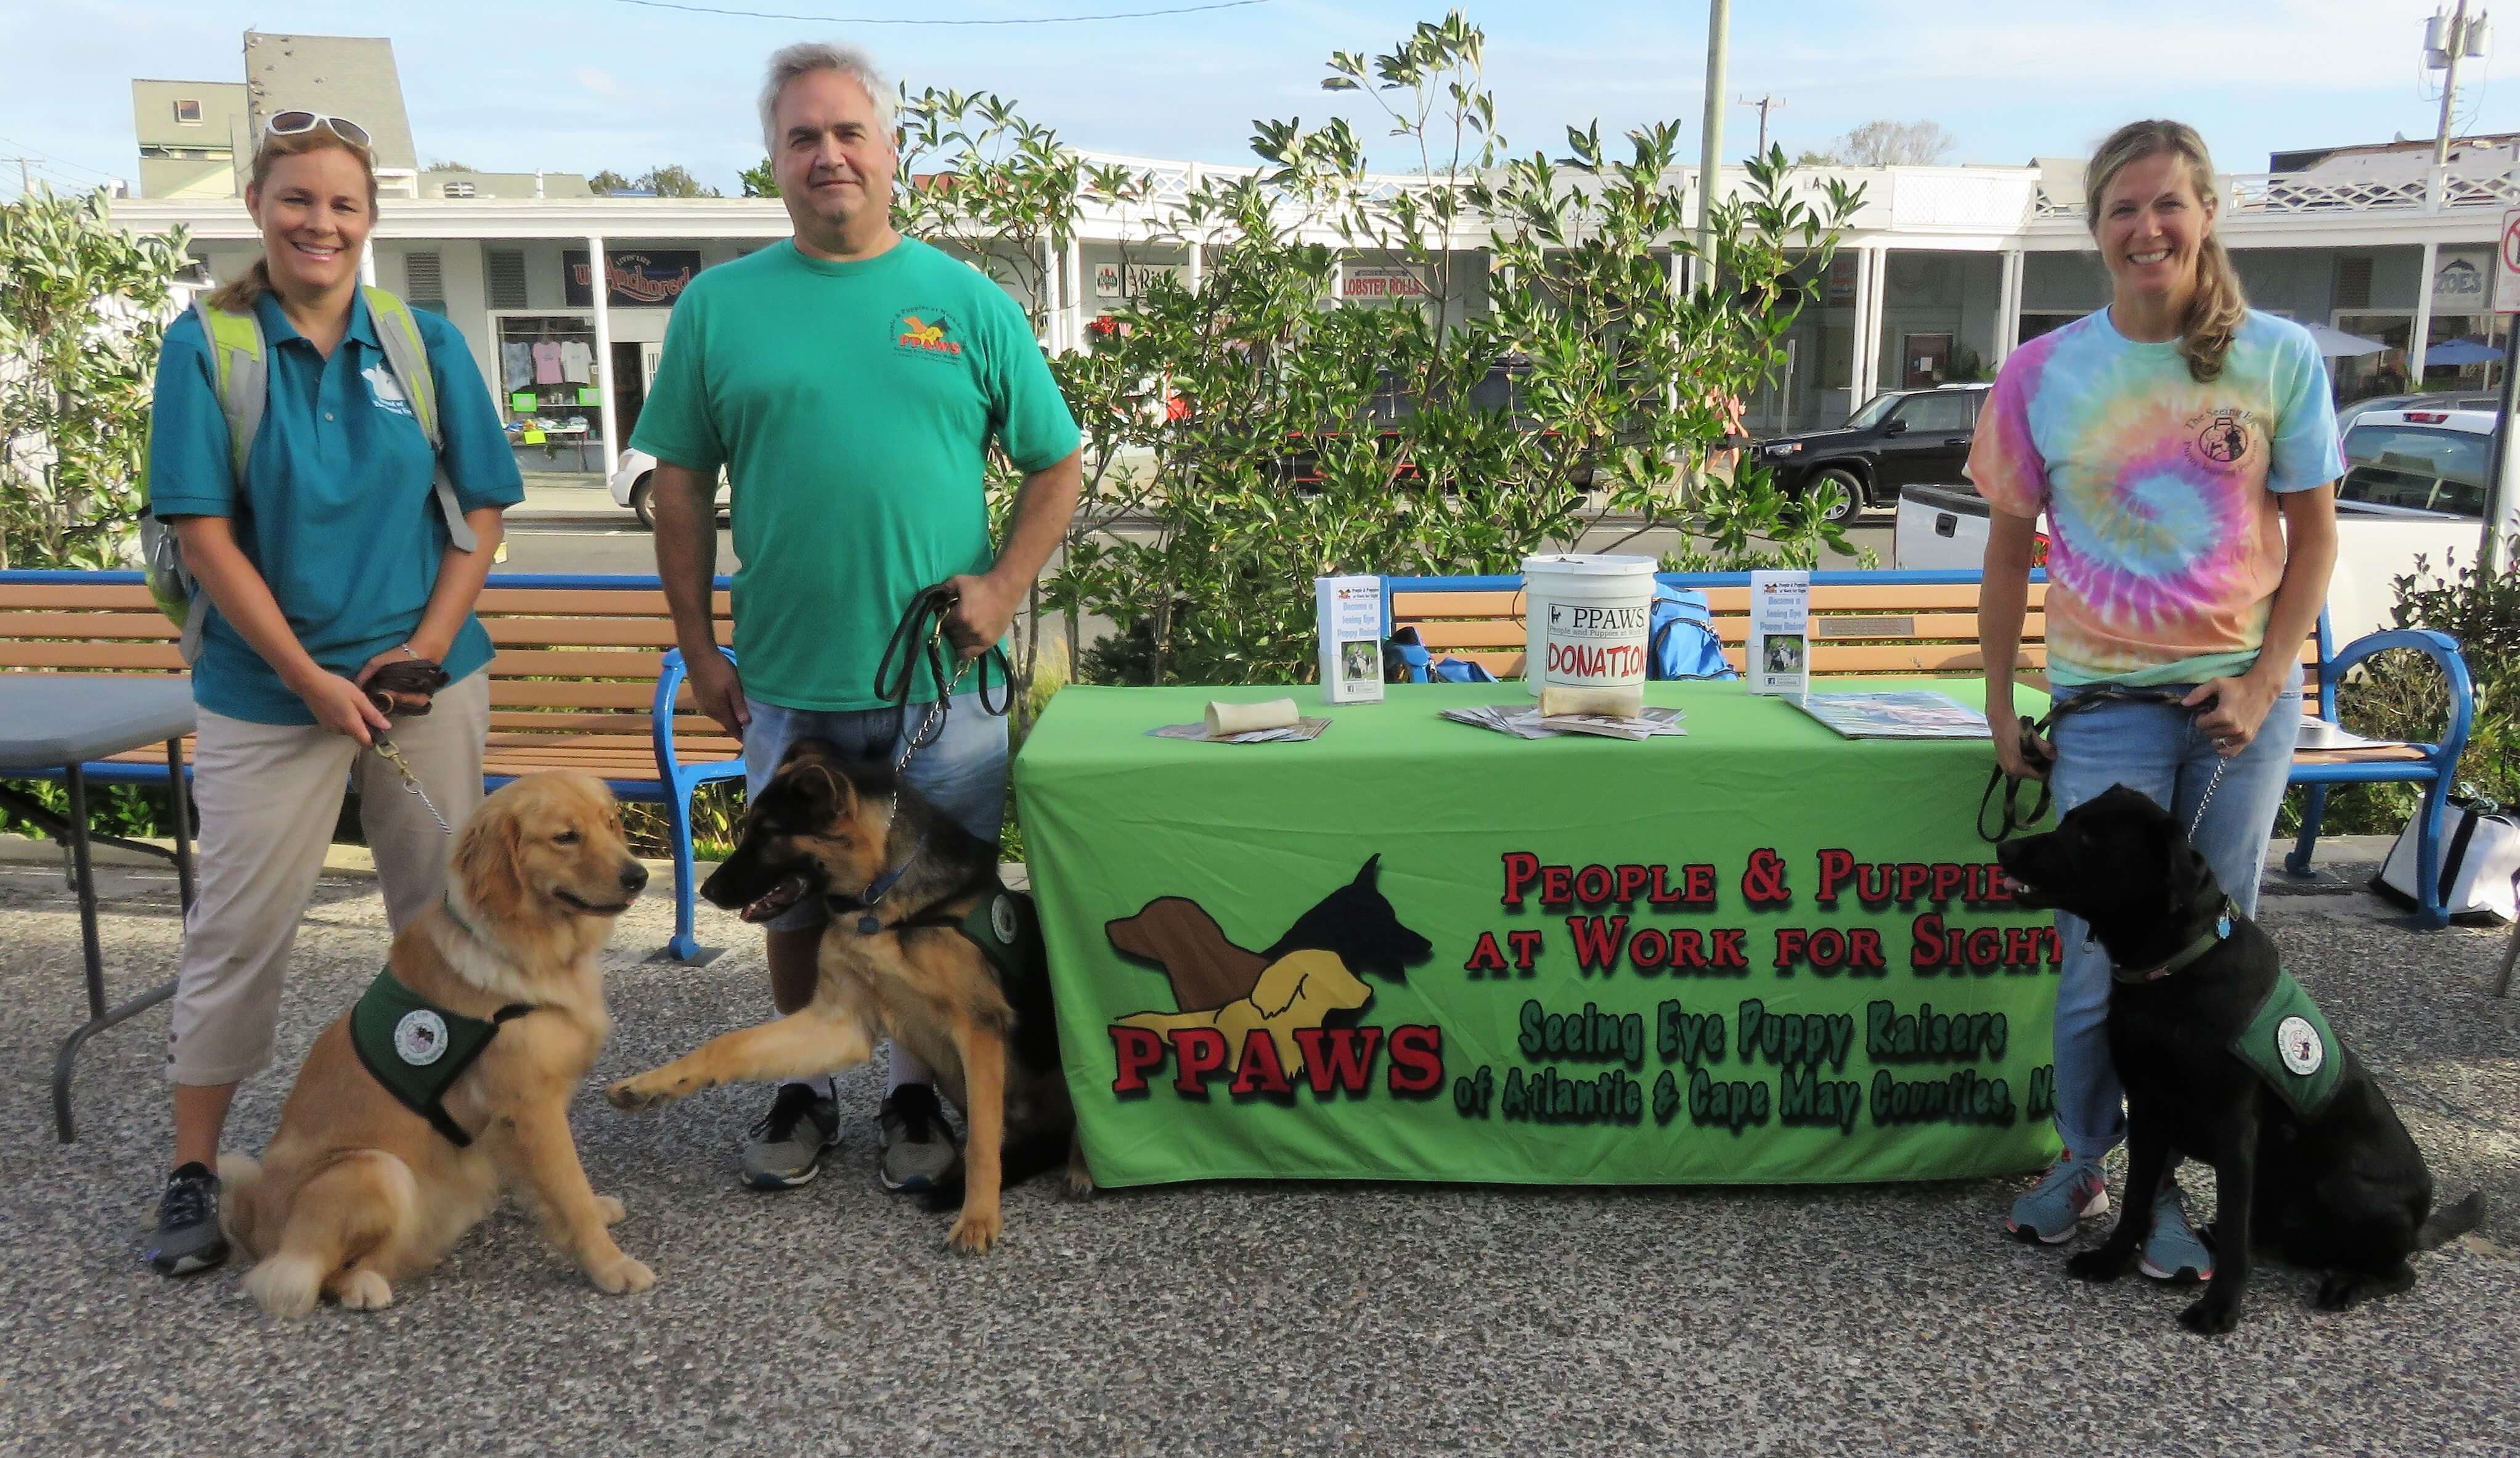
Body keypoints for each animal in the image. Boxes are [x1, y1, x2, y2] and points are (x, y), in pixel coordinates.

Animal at [614, 736, 1088, 1251]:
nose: (708, 890)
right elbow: (729, 1044)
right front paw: (651, 1085)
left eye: (767, 833)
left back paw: (1081, 1167)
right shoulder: (840, 1023)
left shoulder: (979, 1031)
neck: (880, 900)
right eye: (749, 829)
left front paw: (978, 1218)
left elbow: (982, 1144)